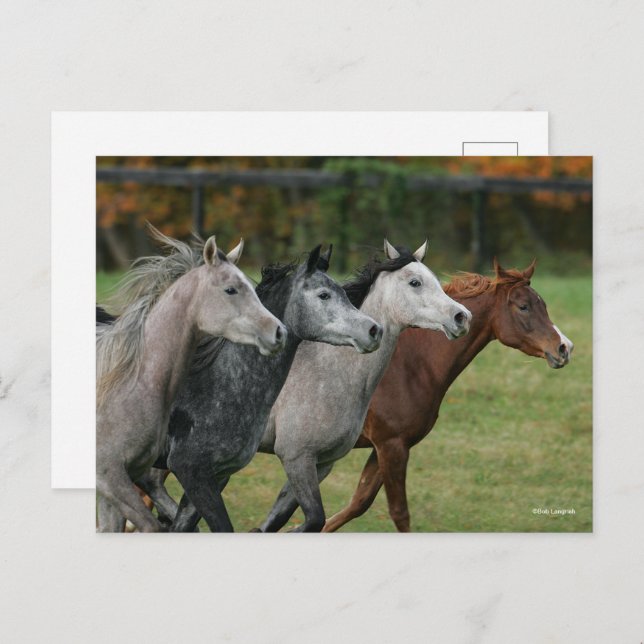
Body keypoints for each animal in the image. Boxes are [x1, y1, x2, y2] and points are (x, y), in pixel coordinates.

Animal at [96, 226, 286, 533]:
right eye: (231, 289)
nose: (279, 332)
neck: (127, 385)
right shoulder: (109, 477)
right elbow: (152, 525)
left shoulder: (118, 481)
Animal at [254, 239, 472, 532]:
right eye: (415, 282)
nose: (463, 317)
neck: (326, 374)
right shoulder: (296, 457)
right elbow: (312, 519)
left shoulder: (323, 463)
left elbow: (281, 519)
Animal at [322, 259, 574, 532]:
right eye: (524, 307)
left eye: (543, 305)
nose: (564, 347)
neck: (409, 367)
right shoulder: (391, 445)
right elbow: (399, 513)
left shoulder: (388, 447)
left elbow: (357, 503)